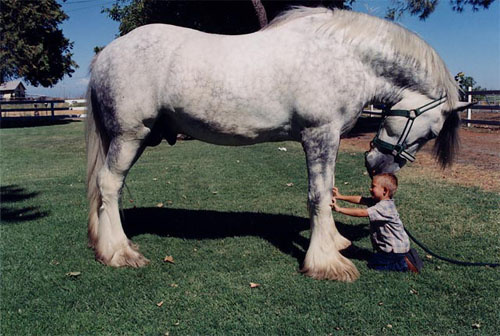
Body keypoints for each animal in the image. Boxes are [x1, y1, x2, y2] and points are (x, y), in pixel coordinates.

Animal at [86, 7, 468, 280]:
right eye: (431, 133)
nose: (379, 167)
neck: (344, 57)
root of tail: (105, 55)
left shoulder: (328, 139)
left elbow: (327, 191)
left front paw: (335, 243)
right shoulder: (319, 134)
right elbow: (318, 195)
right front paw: (327, 263)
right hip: (130, 135)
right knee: (109, 184)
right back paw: (120, 253)